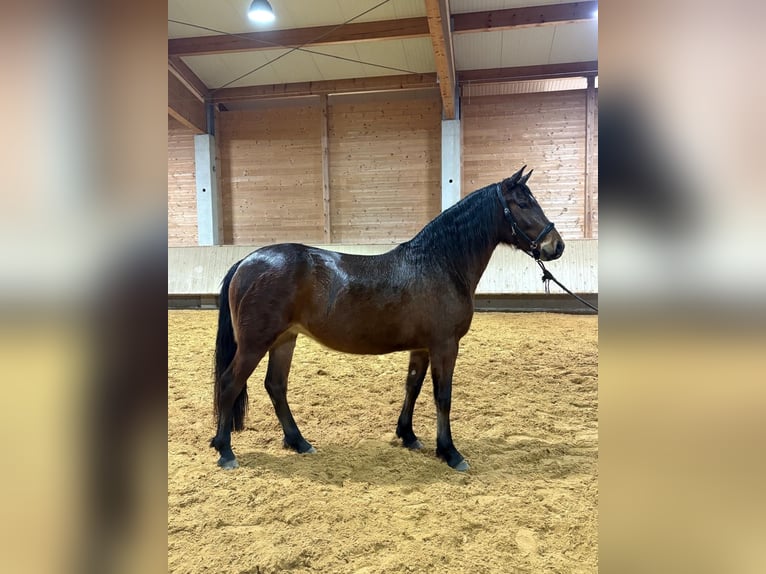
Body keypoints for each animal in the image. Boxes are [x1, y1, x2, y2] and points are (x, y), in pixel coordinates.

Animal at [210, 166, 564, 471]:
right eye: (523, 203)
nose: (556, 245)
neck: (438, 264)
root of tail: (246, 261)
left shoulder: (422, 348)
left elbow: (413, 387)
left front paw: (408, 436)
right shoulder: (445, 345)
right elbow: (443, 396)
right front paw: (450, 452)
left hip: (284, 339)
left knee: (276, 386)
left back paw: (299, 442)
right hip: (255, 344)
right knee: (230, 383)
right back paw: (226, 451)